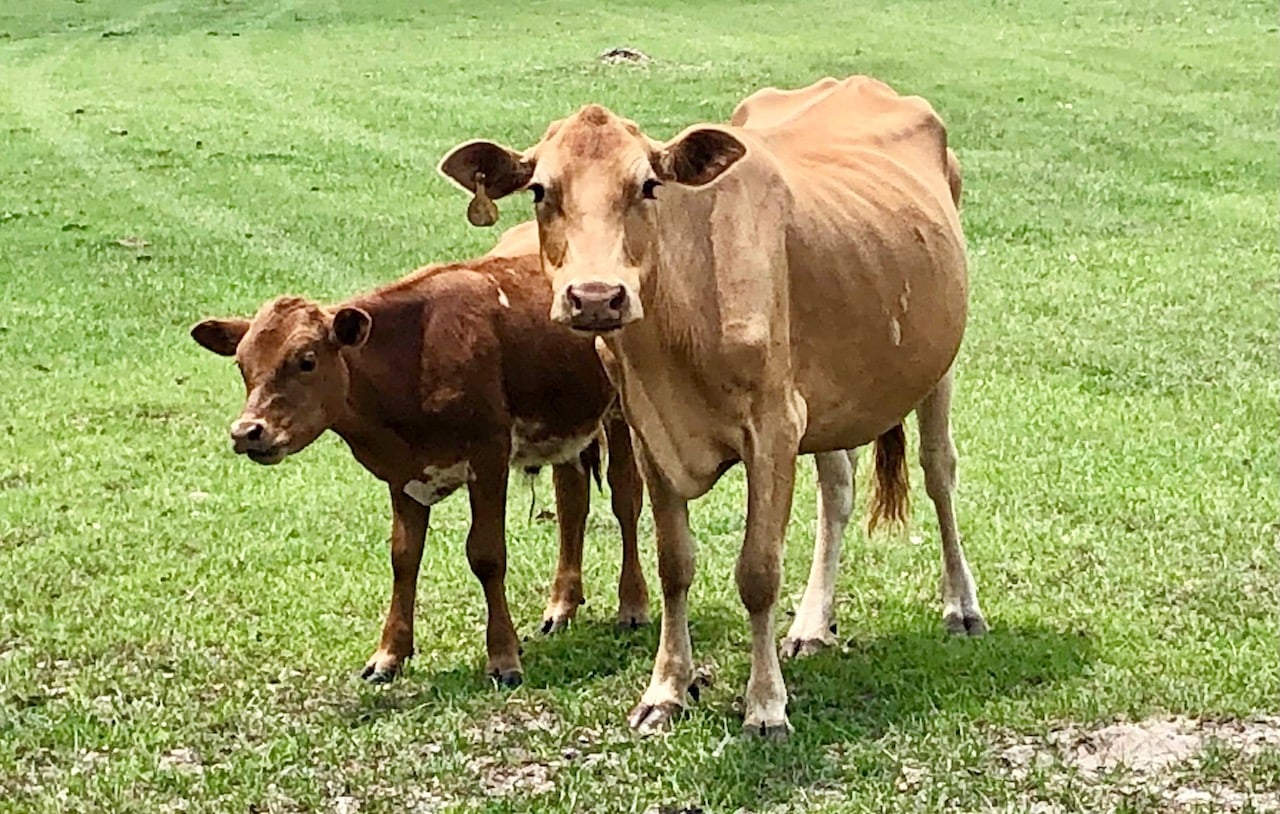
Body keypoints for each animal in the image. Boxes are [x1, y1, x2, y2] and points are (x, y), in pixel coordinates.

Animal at [188, 223, 650, 687]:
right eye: (242, 365)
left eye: (306, 360)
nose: (247, 432)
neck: (413, 356)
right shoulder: (403, 473)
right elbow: (403, 558)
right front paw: (389, 655)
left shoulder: (489, 456)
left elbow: (487, 555)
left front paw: (503, 657)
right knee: (572, 502)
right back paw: (560, 607)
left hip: (619, 411)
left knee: (625, 499)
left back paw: (633, 606)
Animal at [438, 75, 986, 736]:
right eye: (541, 190)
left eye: (648, 185)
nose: (595, 296)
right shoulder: (649, 430)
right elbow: (674, 563)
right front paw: (666, 691)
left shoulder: (774, 427)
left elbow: (758, 572)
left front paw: (766, 705)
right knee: (838, 489)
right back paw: (811, 624)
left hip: (938, 363)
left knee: (938, 472)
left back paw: (961, 606)